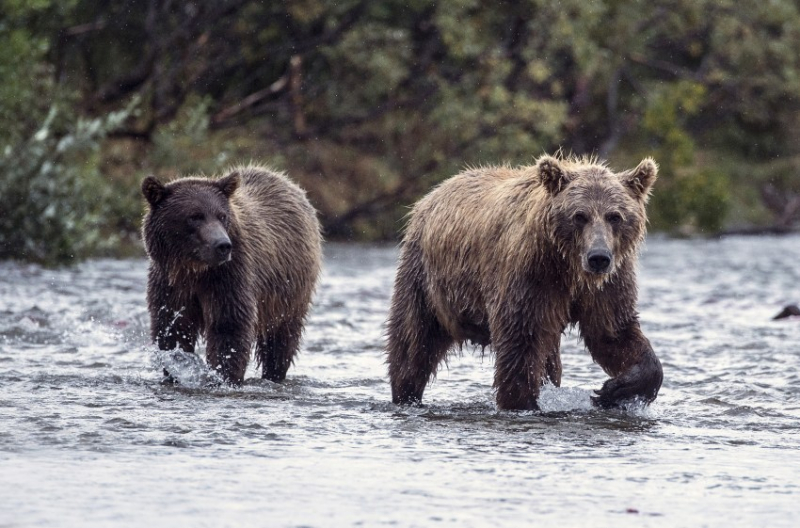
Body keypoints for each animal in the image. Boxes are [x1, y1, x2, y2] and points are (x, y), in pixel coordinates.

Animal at [142, 165, 320, 384]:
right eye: (195, 216)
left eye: (222, 215)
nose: (223, 245)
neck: (195, 270)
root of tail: (288, 182)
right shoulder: (170, 284)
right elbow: (172, 328)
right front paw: (175, 369)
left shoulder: (230, 277)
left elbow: (229, 326)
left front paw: (223, 375)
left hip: (289, 290)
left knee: (281, 338)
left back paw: (274, 373)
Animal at [386, 153, 664, 408]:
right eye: (579, 215)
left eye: (614, 216)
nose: (598, 258)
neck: (568, 267)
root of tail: (431, 194)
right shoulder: (530, 276)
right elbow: (520, 341)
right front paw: (522, 402)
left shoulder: (607, 285)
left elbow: (613, 332)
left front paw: (614, 389)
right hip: (426, 279)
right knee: (413, 342)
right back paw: (406, 394)